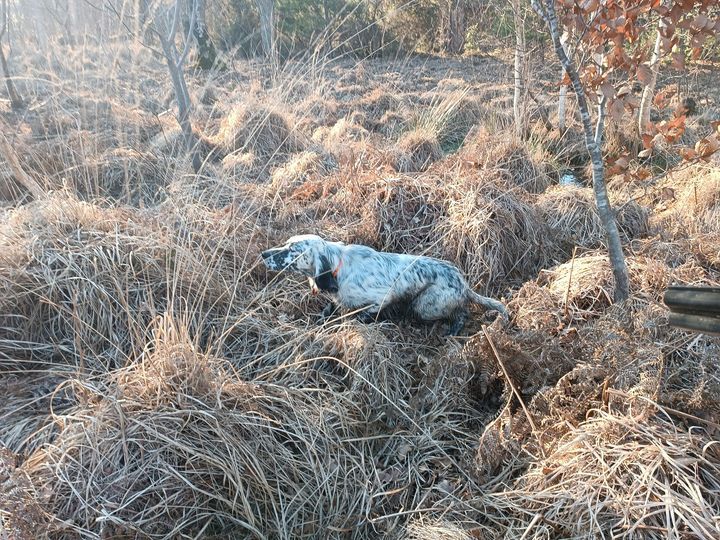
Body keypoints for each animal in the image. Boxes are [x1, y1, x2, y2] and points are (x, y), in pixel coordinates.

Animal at [260, 233, 506, 334]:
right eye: (285, 243)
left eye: (292, 250)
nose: (263, 254)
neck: (338, 266)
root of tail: (463, 282)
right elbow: (332, 307)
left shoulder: (381, 298)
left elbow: (360, 315)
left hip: (425, 305)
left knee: (462, 313)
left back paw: (453, 329)